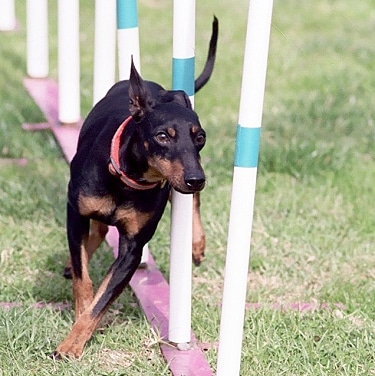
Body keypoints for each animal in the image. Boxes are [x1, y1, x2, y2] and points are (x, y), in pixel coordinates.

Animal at [52, 17, 217, 358]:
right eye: (163, 136)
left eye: (200, 137)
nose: (197, 179)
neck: (127, 180)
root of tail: (163, 90)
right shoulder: (75, 212)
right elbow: (84, 281)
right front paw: (76, 327)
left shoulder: (133, 248)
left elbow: (102, 298)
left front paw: (74, 341)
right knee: (95, 233)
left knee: (191, 203)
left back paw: (196, 242)